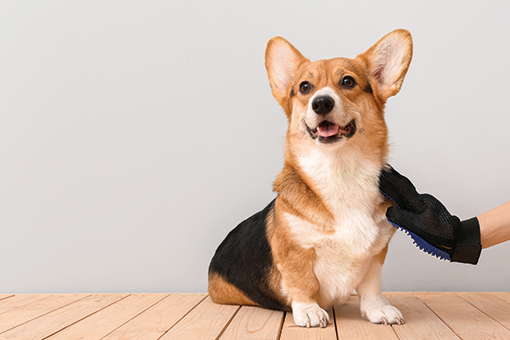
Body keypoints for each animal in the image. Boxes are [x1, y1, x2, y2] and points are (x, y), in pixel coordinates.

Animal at [209, 29, 412, 326]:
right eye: (305, 87)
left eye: (348, 81)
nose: (321, 102)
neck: (339, 171)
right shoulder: (296, 252)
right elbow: (302, 282)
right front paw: (309, 311)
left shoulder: (376, 255)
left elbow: (371, 286)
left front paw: (379, 310)